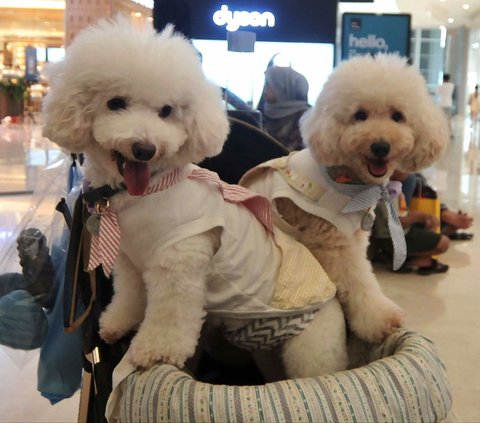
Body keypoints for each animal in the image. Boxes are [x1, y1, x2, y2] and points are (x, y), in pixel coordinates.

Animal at [41, 17, 348, 378]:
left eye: (166, 111)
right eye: (115, 103)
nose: (145, 149)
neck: (148, 190)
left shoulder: (178, 263)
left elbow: (170, 316)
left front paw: (155, 350)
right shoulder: (130, 260)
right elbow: (129, 296)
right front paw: (118, 323)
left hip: (311, 348)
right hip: (269, 353)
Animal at [242, 55, 448, 348]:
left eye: (398, 116)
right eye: (359, 115)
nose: (381, 146)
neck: (347, 182)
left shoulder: (355, 239)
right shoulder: (334, 245)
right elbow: (359, 283)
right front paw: (379, 320)